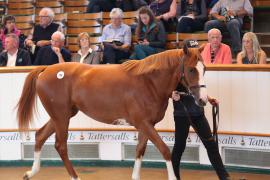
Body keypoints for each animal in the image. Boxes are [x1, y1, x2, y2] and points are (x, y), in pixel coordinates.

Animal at [16, 45, 207, 179]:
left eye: (204, 68)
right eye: (191, 69)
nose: (203, 100)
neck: (148, 82)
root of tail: (46, 70)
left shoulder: (146, 126)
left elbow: (140, 150)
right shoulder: (144, 124)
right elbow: (165, 151)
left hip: (61, 116)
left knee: (40, 136)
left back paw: (30, 173)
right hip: (61, 117)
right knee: (60, 145)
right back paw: (74, 177)